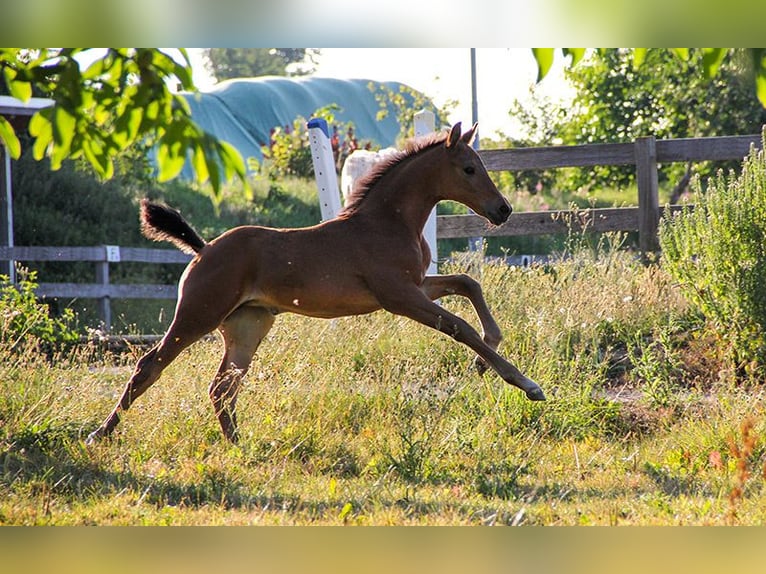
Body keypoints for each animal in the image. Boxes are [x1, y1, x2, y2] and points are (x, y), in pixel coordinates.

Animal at [88, 122, 544, 446]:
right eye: (469, 169)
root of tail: (203, 249)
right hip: (198, 314)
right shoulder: (399, 296)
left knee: (222, 386)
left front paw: (488, 357)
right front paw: (524, 383)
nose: (502, 210)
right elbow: (459, 326)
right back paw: (99, 434)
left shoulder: (415, 286)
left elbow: (468, 284)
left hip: (248, 325)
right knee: (150, 366)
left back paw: (239, 444)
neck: (387, 222)